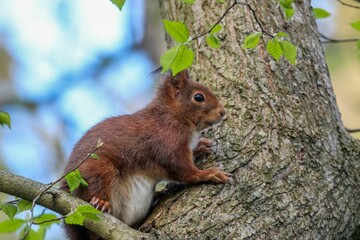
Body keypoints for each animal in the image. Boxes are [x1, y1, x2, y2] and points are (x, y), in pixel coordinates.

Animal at [61, 69, 231, 240]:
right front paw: (208, 174)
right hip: (98, 169)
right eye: (198, 97)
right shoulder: (167, 141)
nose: (223, 112)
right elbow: (183, 170)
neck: (173, 115)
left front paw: (200, 148)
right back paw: (101, 202)